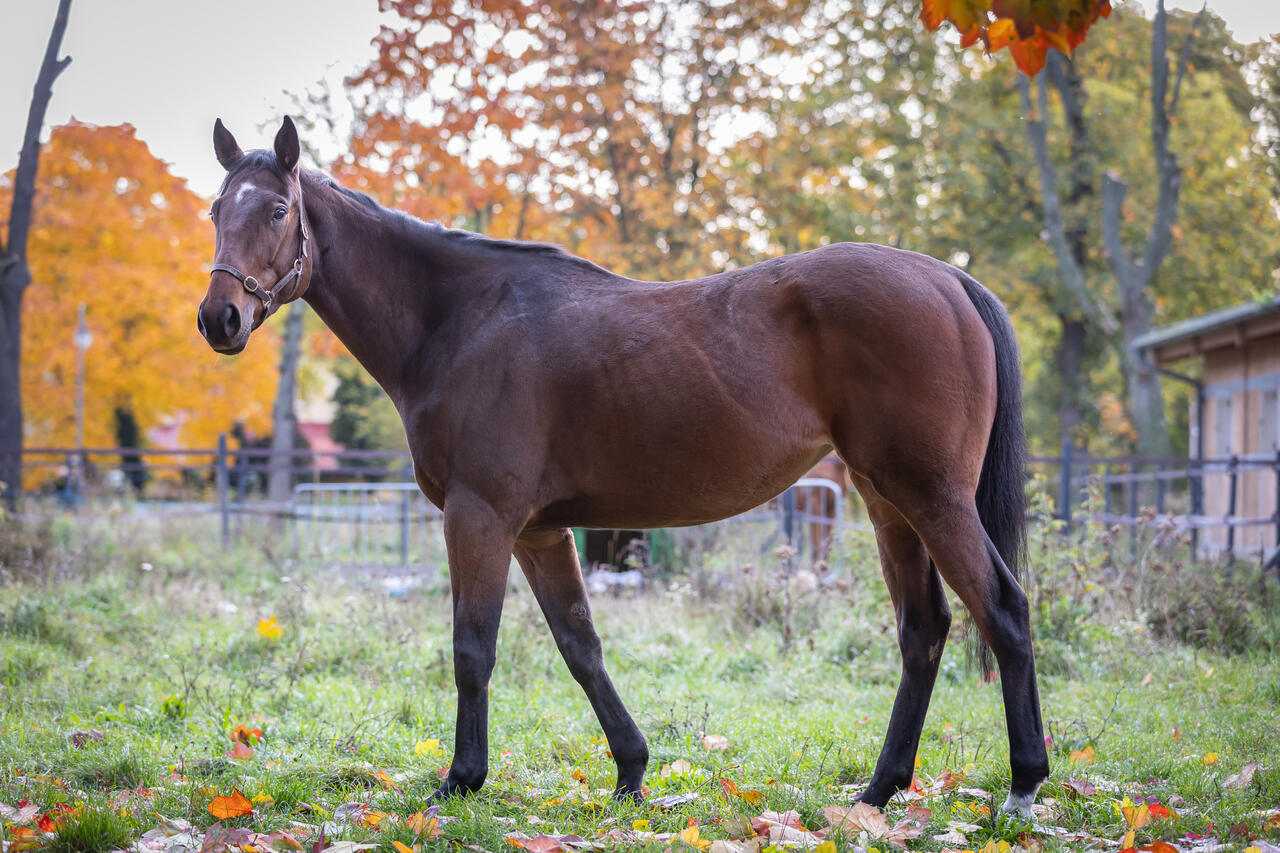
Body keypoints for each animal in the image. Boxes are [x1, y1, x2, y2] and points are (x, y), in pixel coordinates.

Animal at [197, 117, 1049, 814]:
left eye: (276, 211)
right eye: (215, 211)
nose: (219, 319)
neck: (461, 320)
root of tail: (947, 277)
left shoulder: (481, 517)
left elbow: (473, 647)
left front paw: (461, 780)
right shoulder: (539, 533)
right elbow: (581, 646)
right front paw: (631, 772)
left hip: (932, 497)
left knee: (1003, 611)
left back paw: (1022, 786)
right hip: (886, 501)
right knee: (924, 629)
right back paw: (879, 789)